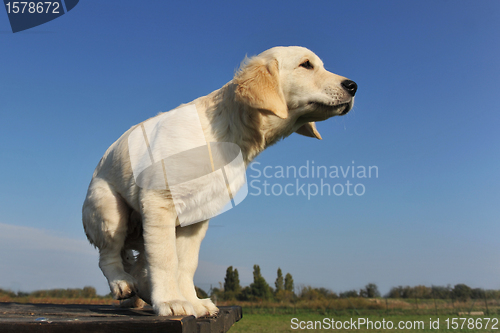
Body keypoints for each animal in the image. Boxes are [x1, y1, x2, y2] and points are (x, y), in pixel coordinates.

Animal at [81, 45, 356, 316]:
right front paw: (171, 302)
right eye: (306, 65)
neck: (228, 135)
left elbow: (186, 264)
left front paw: (193, 302)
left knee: (138, 265)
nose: (353, 86)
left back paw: (140, 295)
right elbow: (166, 259)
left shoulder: (196, 217)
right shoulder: (159, 200)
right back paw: (122, 284)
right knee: (109, 256)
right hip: (110, 212)